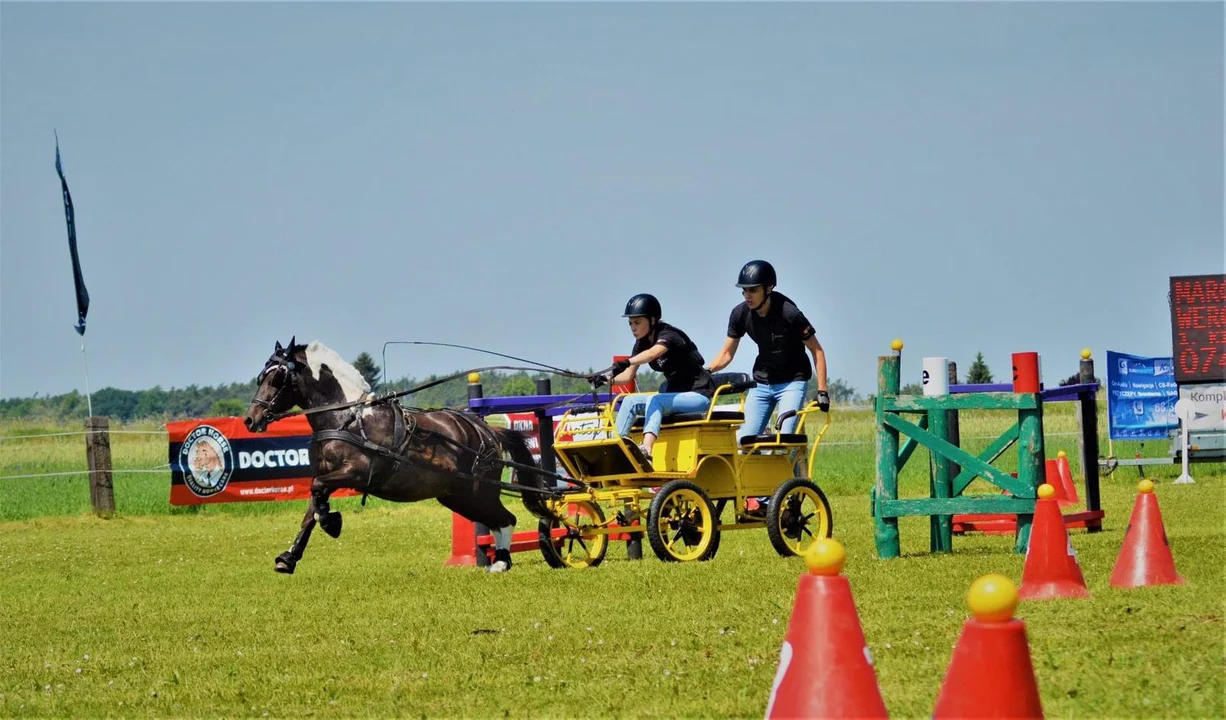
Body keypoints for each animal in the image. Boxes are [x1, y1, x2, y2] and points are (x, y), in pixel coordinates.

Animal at [241, 338, 549, 574]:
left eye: (277, 378)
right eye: (261, 377)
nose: (250, 419)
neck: (345, 419)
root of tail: (488, 430)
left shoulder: (356, 472)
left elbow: (317, 497)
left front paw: (332, 522)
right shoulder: (327, 474)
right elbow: (311, 509)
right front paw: (289, 557)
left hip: (479, 491)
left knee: (507, 519)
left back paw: (502, 561)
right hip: (459, 496)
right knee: (498, 521)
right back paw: (501, 561)